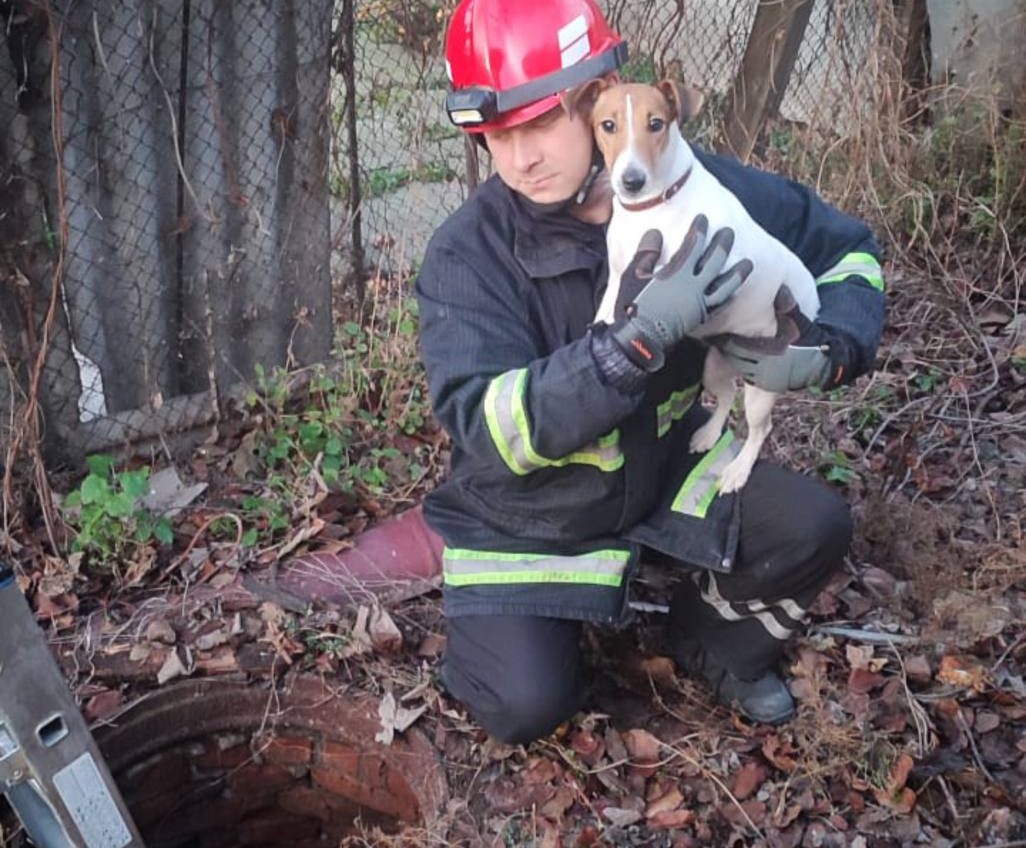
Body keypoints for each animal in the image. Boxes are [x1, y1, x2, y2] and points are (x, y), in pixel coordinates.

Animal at [570, 76, 816, 494]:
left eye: (656, 124)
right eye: (608, 125)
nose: (631, 181)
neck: (654, 207)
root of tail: (812, 295)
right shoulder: (620, 275)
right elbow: (610, 307)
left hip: (763, 382)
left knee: (759, 429)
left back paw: (738, 471)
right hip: (715, 367)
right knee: (725, 396)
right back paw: (707, 436)